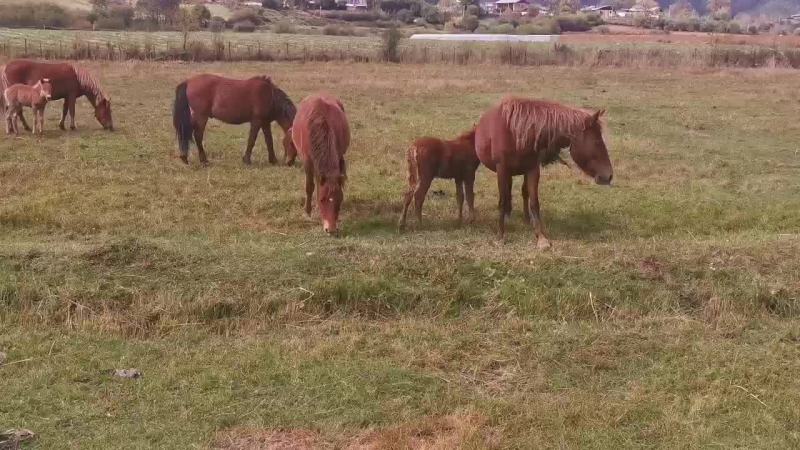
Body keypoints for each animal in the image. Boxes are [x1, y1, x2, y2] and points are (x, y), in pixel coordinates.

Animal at [291, 94, 350, 234]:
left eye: (339, 199)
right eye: (322, 199)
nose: (331, 230)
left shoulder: (338, 156)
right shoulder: (307, 162)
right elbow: (310, 186)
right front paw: (308, 212)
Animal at [475, 97, 613, 249]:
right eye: (597, 142)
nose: (609, 175)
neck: (516, 133)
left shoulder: (533, 170)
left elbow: (534, 202)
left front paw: (541, 238)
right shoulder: (502, 169)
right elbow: (502, 201)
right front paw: (501, 236)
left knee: (523, 193)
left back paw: (526, 219)